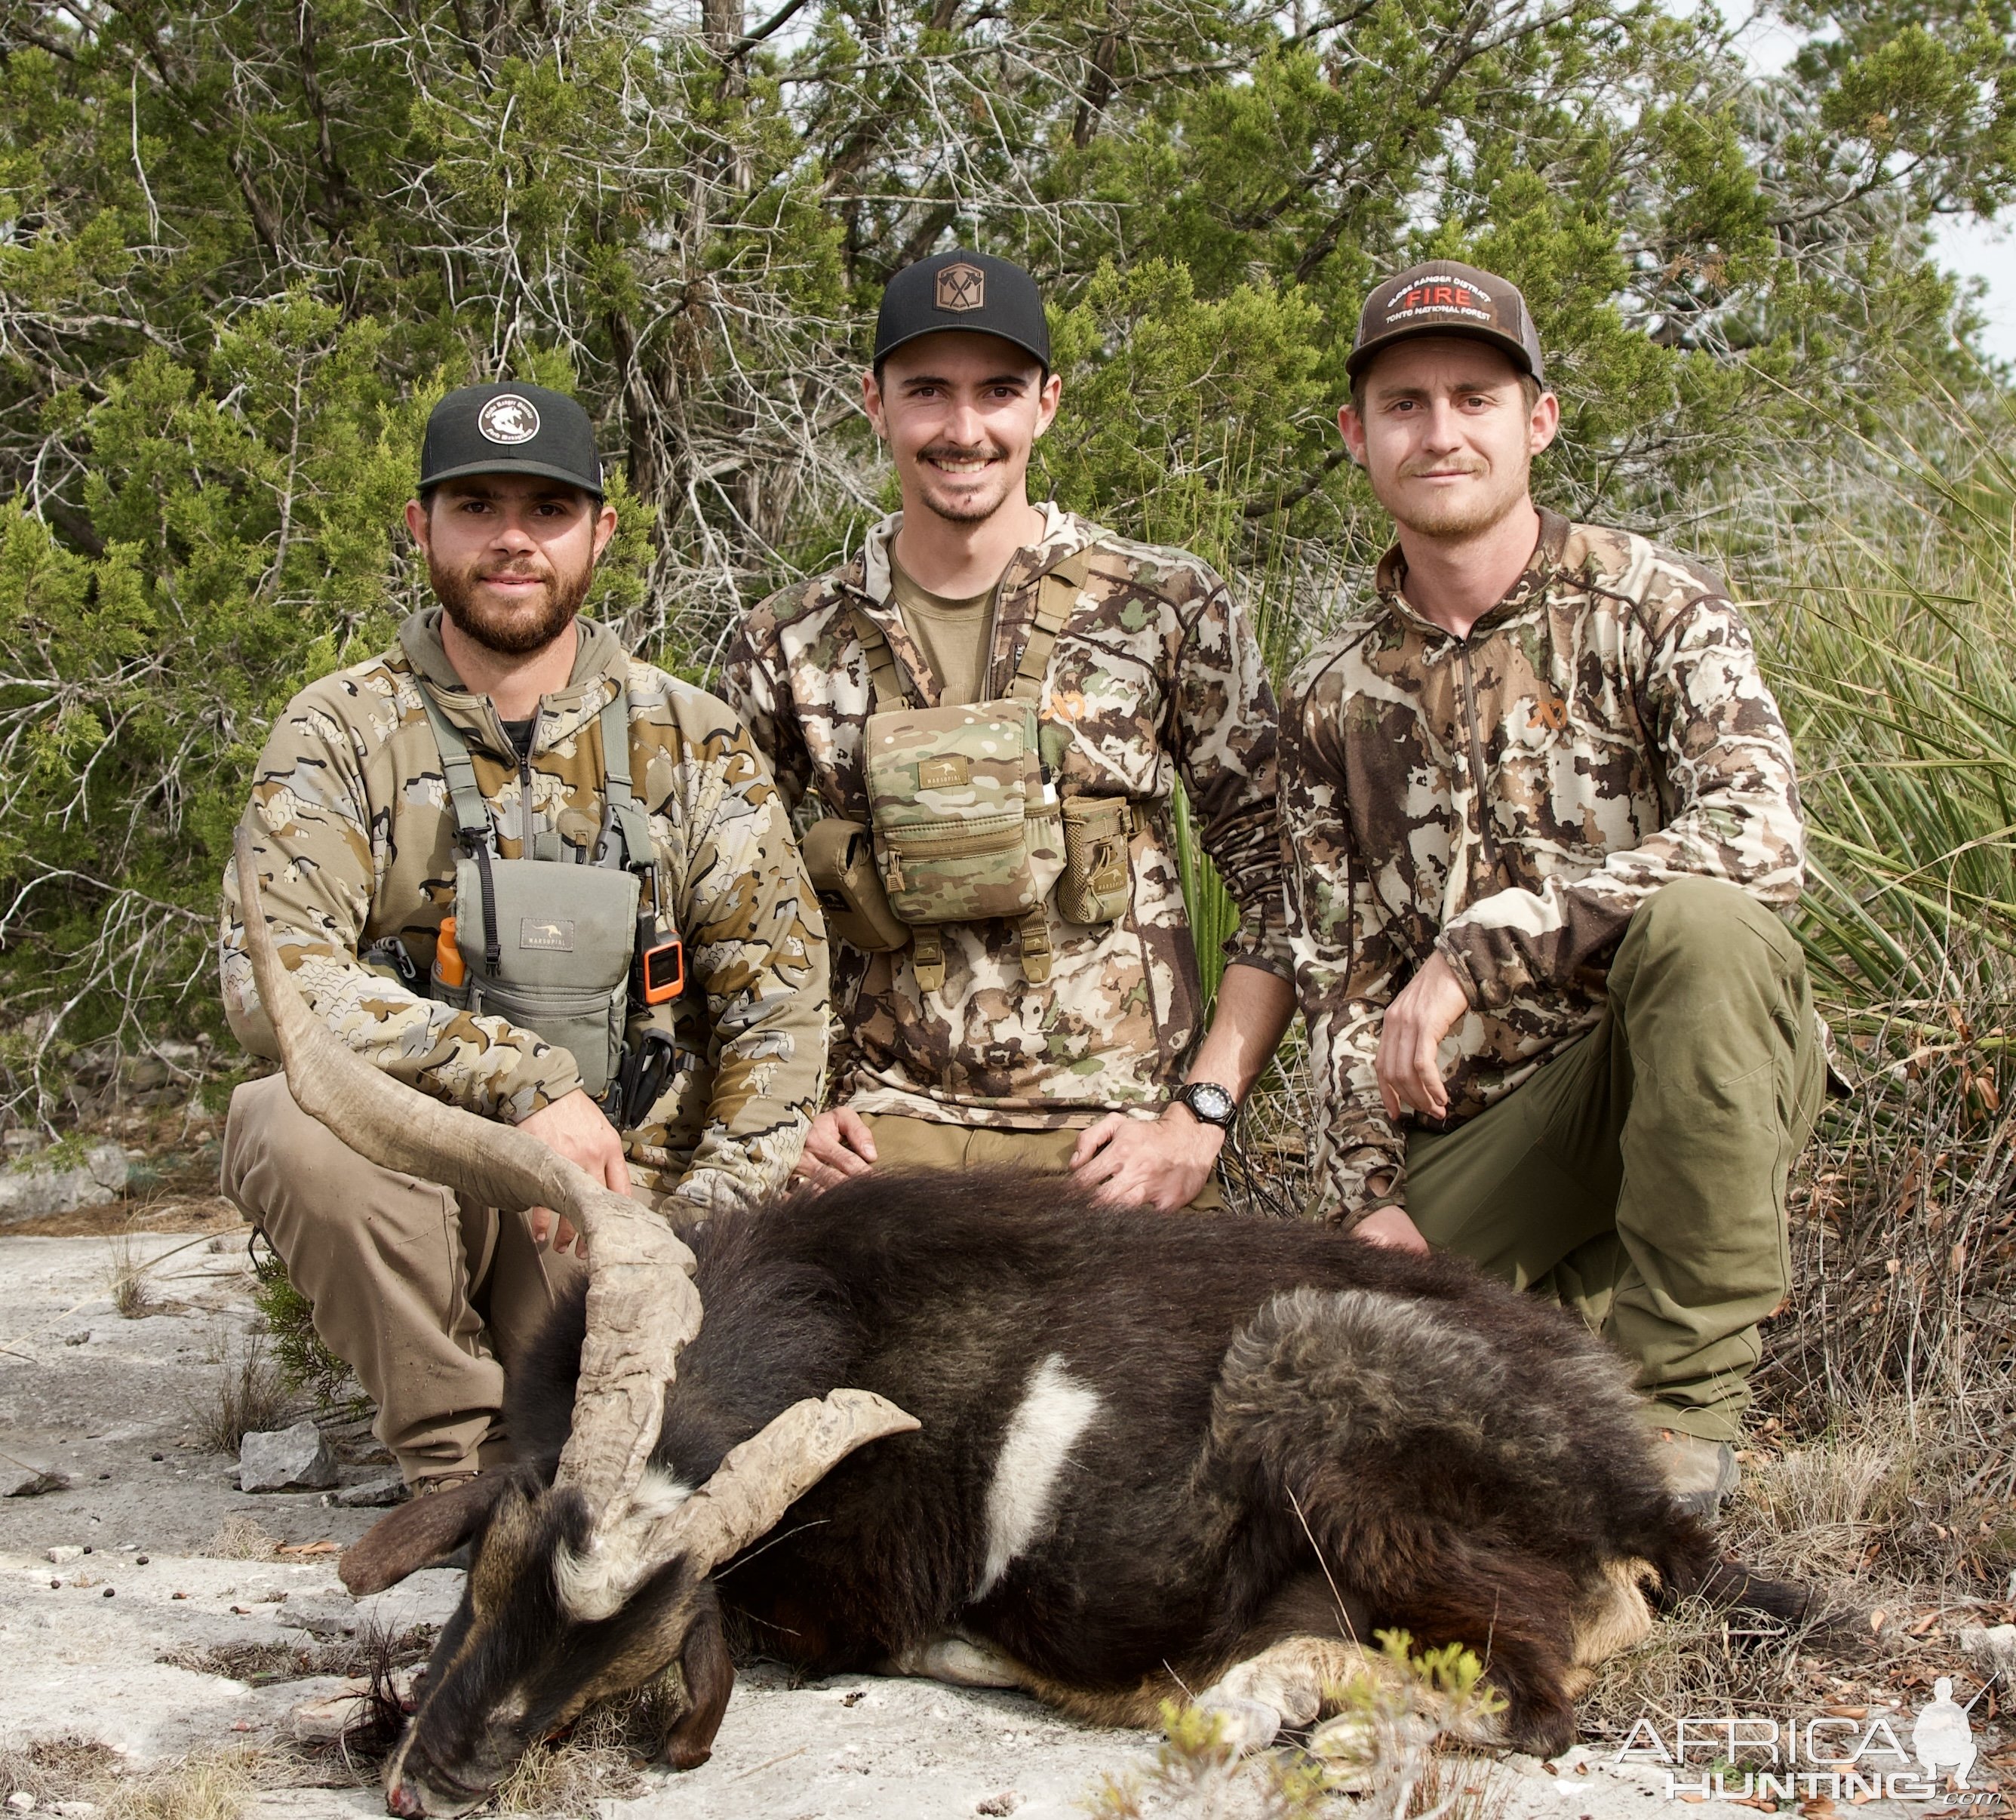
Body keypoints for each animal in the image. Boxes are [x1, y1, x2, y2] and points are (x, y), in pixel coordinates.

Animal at [229, 834, 1806, 1813]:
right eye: (495, 1557)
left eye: (644, 1634)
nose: (433, 1781)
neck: (842, 1315)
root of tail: (1625, 1479)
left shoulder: (848, 1594)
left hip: (1328, 1408)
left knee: (1532, 1698)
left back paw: (1246, 1704)